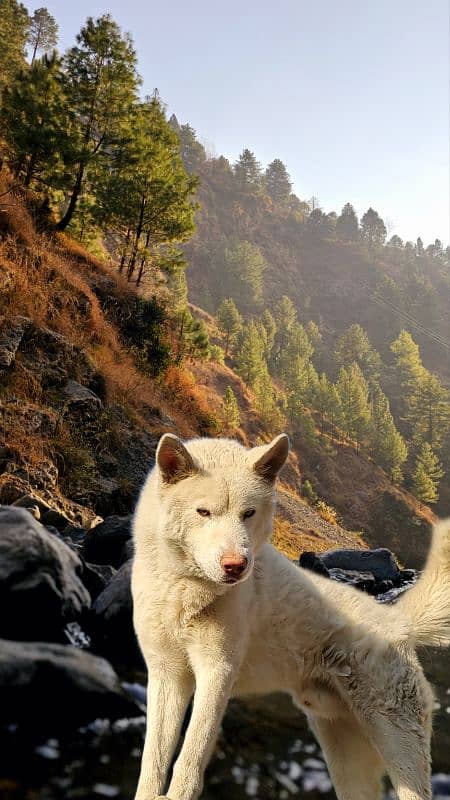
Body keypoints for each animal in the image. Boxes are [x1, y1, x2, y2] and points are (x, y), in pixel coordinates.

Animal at [132, 438, 450, 800]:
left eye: (248, 513)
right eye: (203, 512)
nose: (236, 566)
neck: (183, 591)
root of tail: (398, 621)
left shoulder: (216, 674)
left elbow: (188, 763)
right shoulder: (167, 677)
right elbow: (153, 764)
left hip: (399, 747)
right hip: (345, 758)